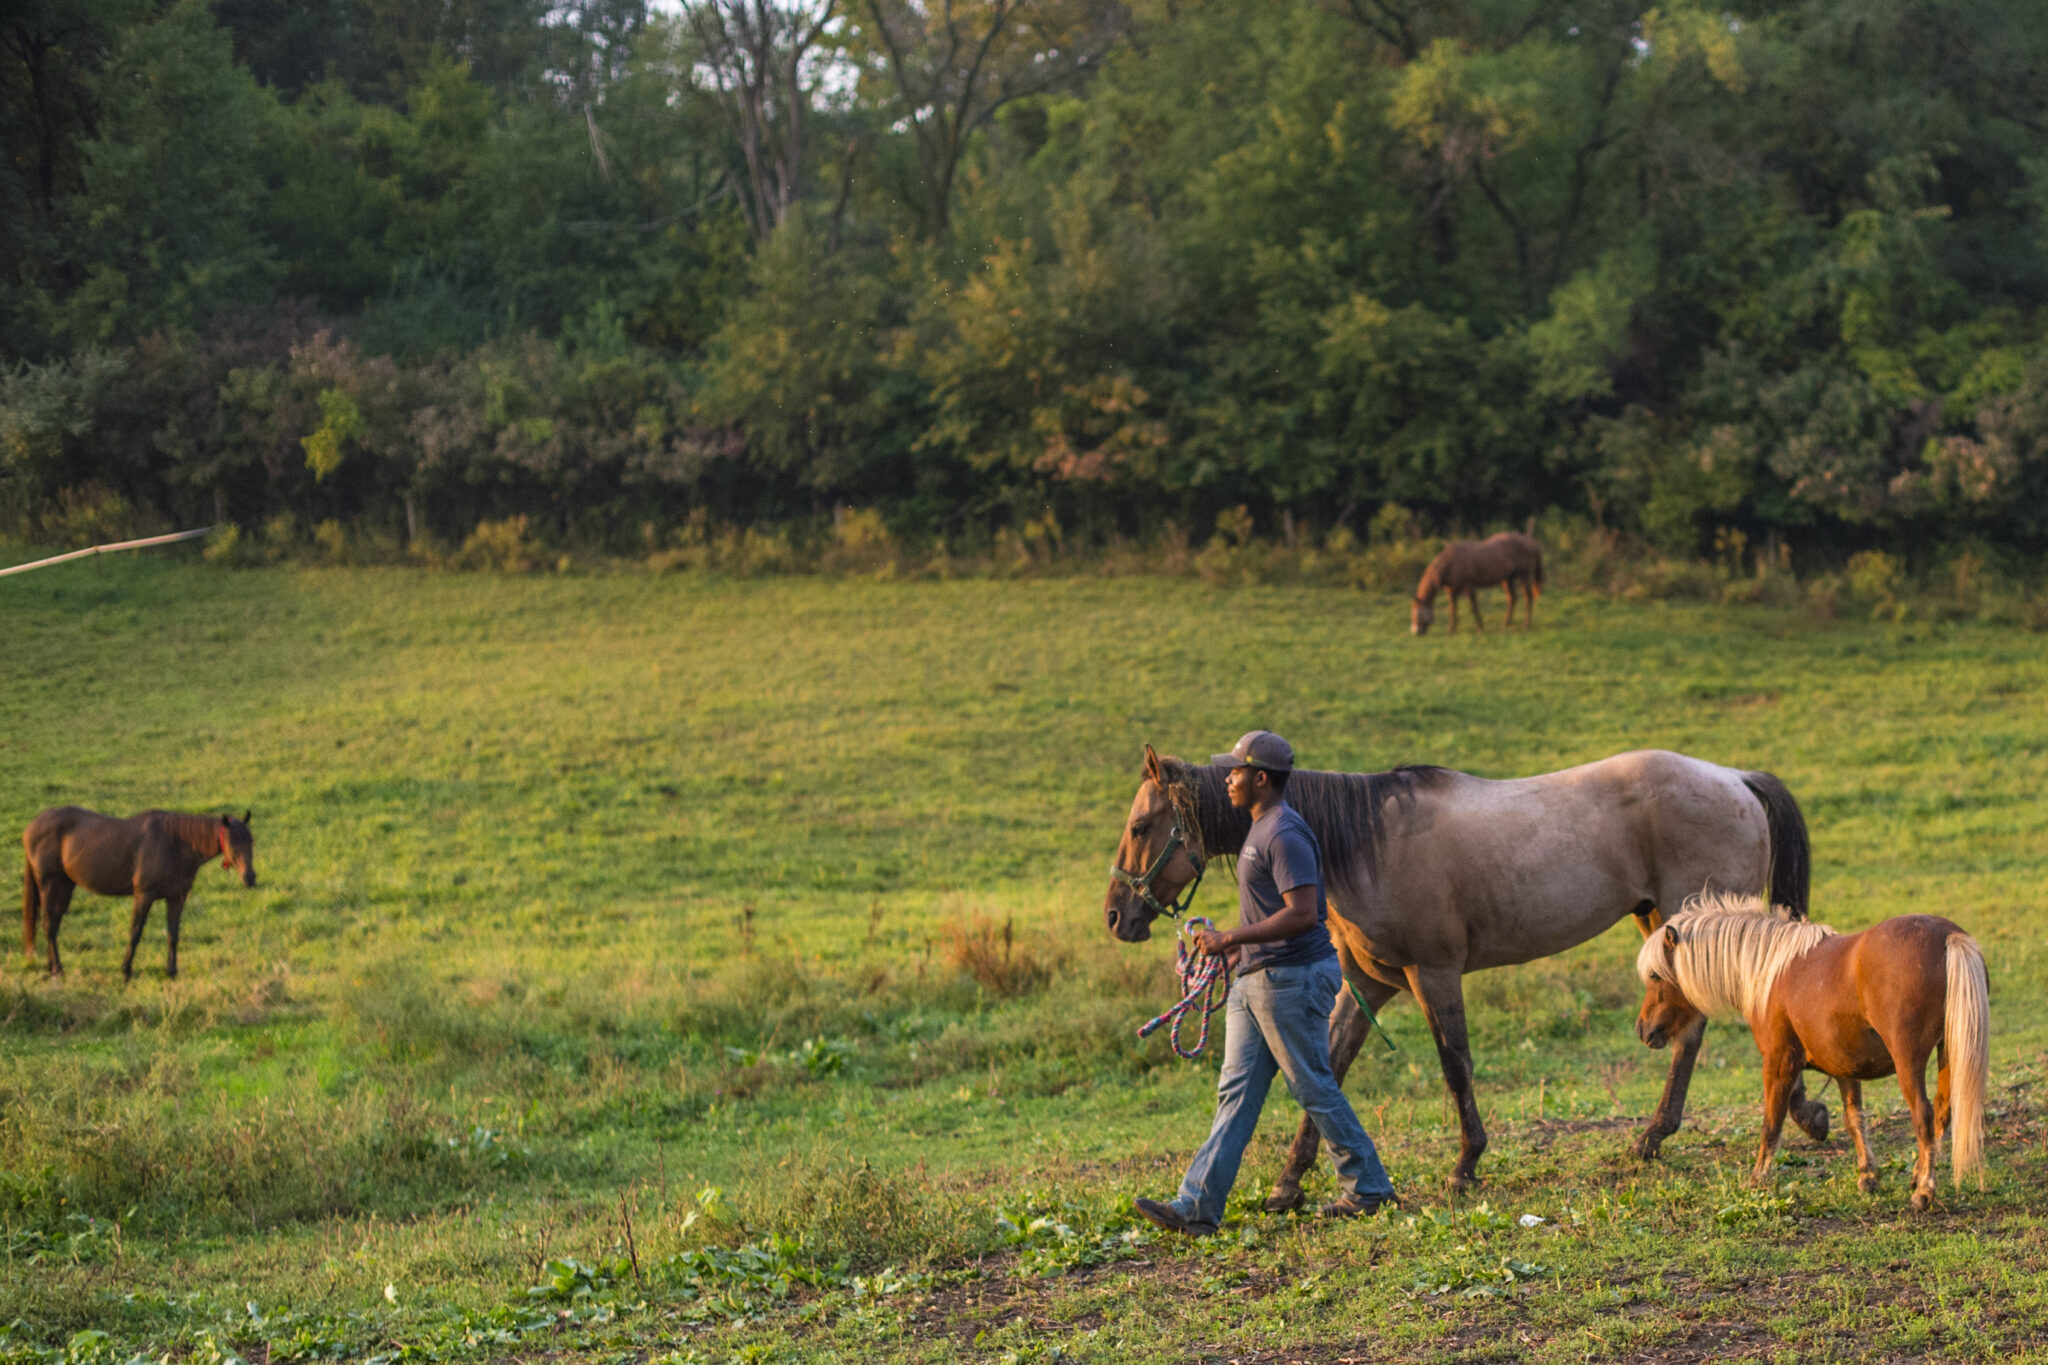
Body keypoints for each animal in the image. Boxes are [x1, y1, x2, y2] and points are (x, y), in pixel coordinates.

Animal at [21, 806, 258, 978]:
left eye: (251, 841)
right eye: (232, 842)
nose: (250, 878)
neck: (175, 843)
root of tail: (30, 828)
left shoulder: (176, 898)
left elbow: (173, 935)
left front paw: (171, 972)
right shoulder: (144, 895)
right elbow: (135, 932)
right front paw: (126, 971)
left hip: (65, 887)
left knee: (52, 924)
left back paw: (52, 967)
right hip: (50, 885)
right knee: (49, 925)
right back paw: (58, 969)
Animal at [1105, 740, 1826, 1203]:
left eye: (1141, 824)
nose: (1117, 915)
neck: (1361, 843)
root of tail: (1734, 778)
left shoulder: (1434, 972)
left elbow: (1455, 1064)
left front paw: (1465, 1164)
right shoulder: (1370, 982)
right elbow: (1325, 1068)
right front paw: (1290, 1181)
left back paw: (1664, 1133)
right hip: (1661, 924)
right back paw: (1792, 1114)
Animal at [1630, 896, 1982, 1219]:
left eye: (1655, 976)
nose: (1643, 1031)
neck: (1770, 970)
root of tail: (1947, 935)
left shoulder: (1778, 1062)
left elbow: (1771, 1124)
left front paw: (1758, 1180)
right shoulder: (1845, 1068)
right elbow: (1854, 1119)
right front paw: (1867, 1177)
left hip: (1909, 1061)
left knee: (1923, 1115)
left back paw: (1923, 1191)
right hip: (1946, 1052)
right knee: (1942, 1112)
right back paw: (1917, 1177)